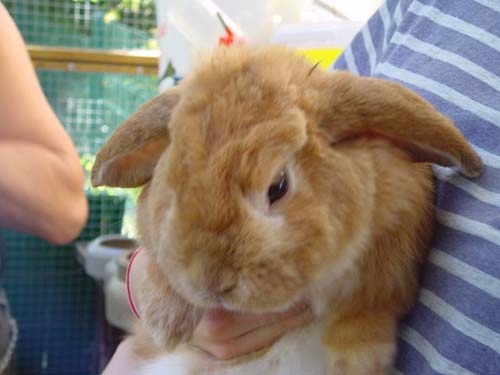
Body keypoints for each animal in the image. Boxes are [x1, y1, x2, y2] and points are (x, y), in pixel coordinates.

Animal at [92, 45, 482, 374]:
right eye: (172, 176)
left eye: (278, 187)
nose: (211, 283)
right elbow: (160, 269)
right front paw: (164, 323)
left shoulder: (394, 258)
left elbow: (364, 316)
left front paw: (356, 363)